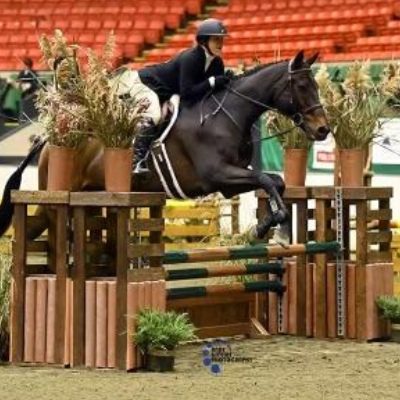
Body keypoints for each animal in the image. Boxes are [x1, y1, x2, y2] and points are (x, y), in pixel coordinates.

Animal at [0, 50, 330, 244]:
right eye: (302, 86)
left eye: (316, 86)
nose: (323, 129)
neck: (229, 114)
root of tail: (53, 137)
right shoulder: (219, 174)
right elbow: (265, 178)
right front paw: (271, 228)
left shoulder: (228, 183)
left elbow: (275, 181)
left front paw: (272, 228)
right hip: (59, 194)